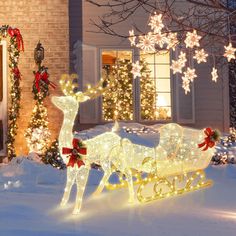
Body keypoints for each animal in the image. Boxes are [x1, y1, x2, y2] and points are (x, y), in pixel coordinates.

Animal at [52, 74, 218, 215]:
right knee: (114, 172)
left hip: (112, 159)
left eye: (67, 100)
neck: (70, 145)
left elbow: (79, 188)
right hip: (108, 160)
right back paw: (99, 193)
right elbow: (68, 186)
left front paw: (76, 211)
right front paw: (62, 205)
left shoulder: (84, 166)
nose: (53, 97)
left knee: (125, 172)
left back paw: (130, 199)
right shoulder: (70, 168)